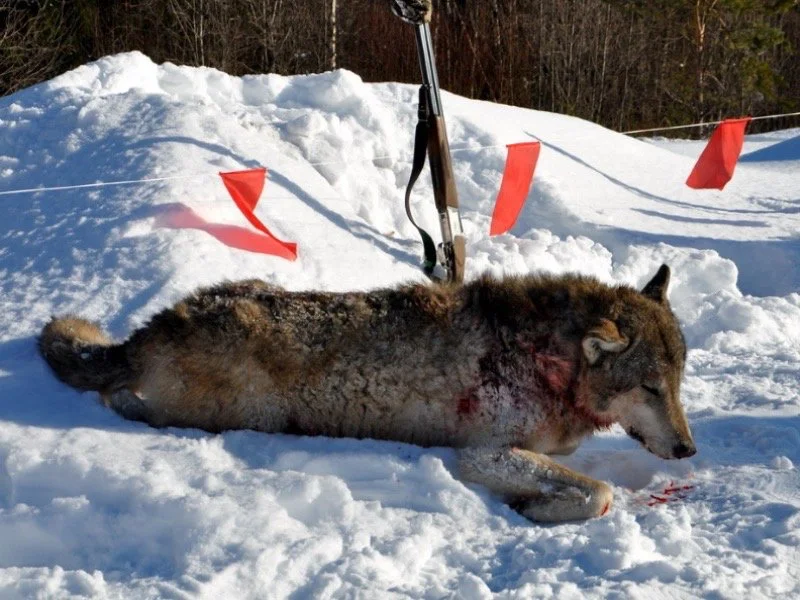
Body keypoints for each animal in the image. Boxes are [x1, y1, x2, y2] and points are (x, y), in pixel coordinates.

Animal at [39, 265, 695, 522]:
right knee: (122, 403)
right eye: (648, 387)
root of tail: (153, 328)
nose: (689, 450)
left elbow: (589, 484)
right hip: (236, 411)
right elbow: (600, 492)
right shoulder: (480, 453)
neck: (548, 361)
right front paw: (532, 509)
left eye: (678, 383)